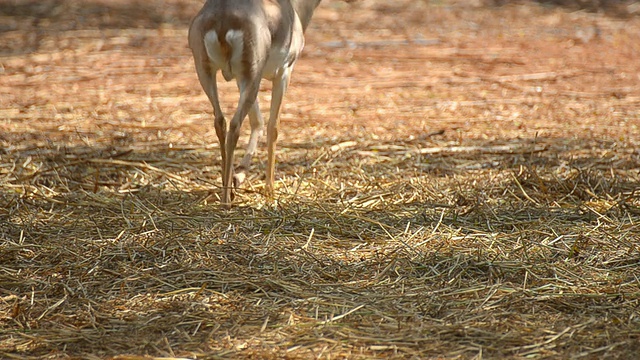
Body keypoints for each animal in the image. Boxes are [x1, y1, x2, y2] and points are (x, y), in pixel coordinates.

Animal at [189, 0, 320, 205]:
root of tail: (223, 17)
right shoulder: (284, 73)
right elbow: (273, 126)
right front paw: (270, 191)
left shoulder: (238, 79)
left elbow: (257, 121)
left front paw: (238, 177)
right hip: (251, 76)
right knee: (235, 125)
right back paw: (227, 200)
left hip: (208, 73)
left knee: (220, 121)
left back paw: (227, 189)